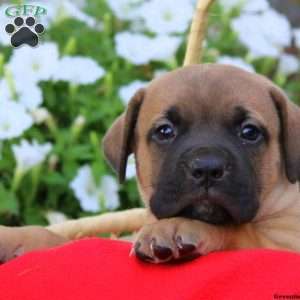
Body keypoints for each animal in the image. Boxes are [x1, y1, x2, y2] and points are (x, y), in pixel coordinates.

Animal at [103, 63, 300, 262]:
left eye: (250, 132)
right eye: (164, 131)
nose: (207, 167)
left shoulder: (286, 236)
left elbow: (237, 231)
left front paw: (172, 227)